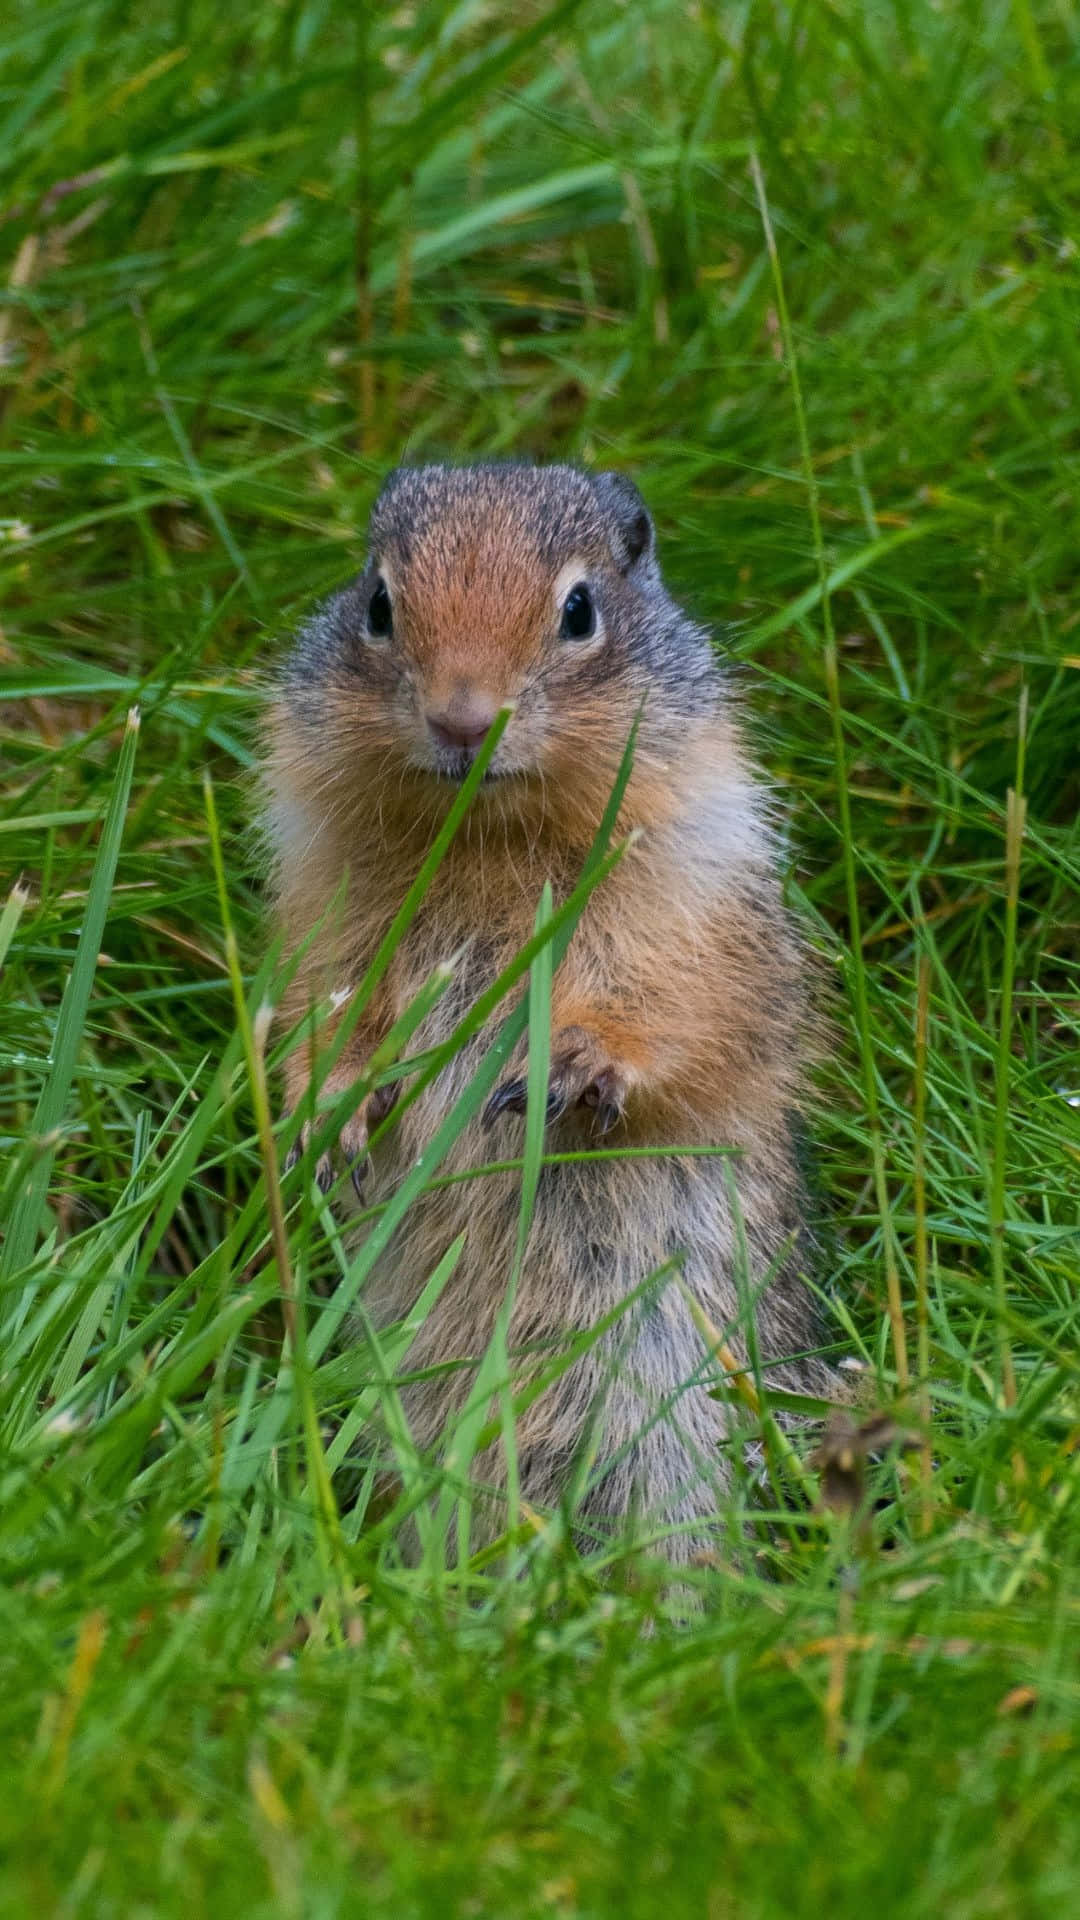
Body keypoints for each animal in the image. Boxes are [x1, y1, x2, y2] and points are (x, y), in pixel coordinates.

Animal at [259, 464, 834, 1559]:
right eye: (377, 604)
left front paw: (576, 1065)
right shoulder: (327, 902)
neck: (486, 838)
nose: (462, 720)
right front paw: (336, 1105)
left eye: (580, 612)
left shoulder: (692, 890)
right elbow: (323, 1008)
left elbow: (688, 1008)